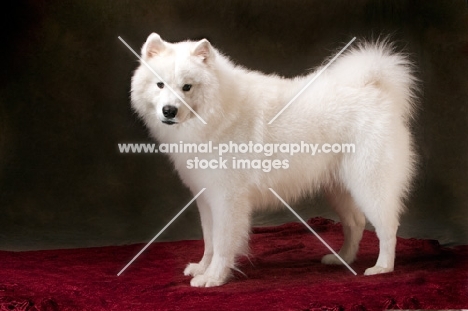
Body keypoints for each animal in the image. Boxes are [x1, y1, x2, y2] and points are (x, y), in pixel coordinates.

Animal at [131, 33, 416, 288]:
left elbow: (222, 242)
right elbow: (209, 240)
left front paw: (213, 277)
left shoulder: (227, 199)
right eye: (159, 85)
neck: (217, 112)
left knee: (387, 227)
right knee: (355, 223)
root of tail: (373, 88)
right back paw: (341, 259)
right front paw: (203, 267)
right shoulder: (206, 197)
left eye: (187, 87)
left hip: (369, 184)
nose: (169, 111)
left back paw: (382, 267)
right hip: (339, 188)